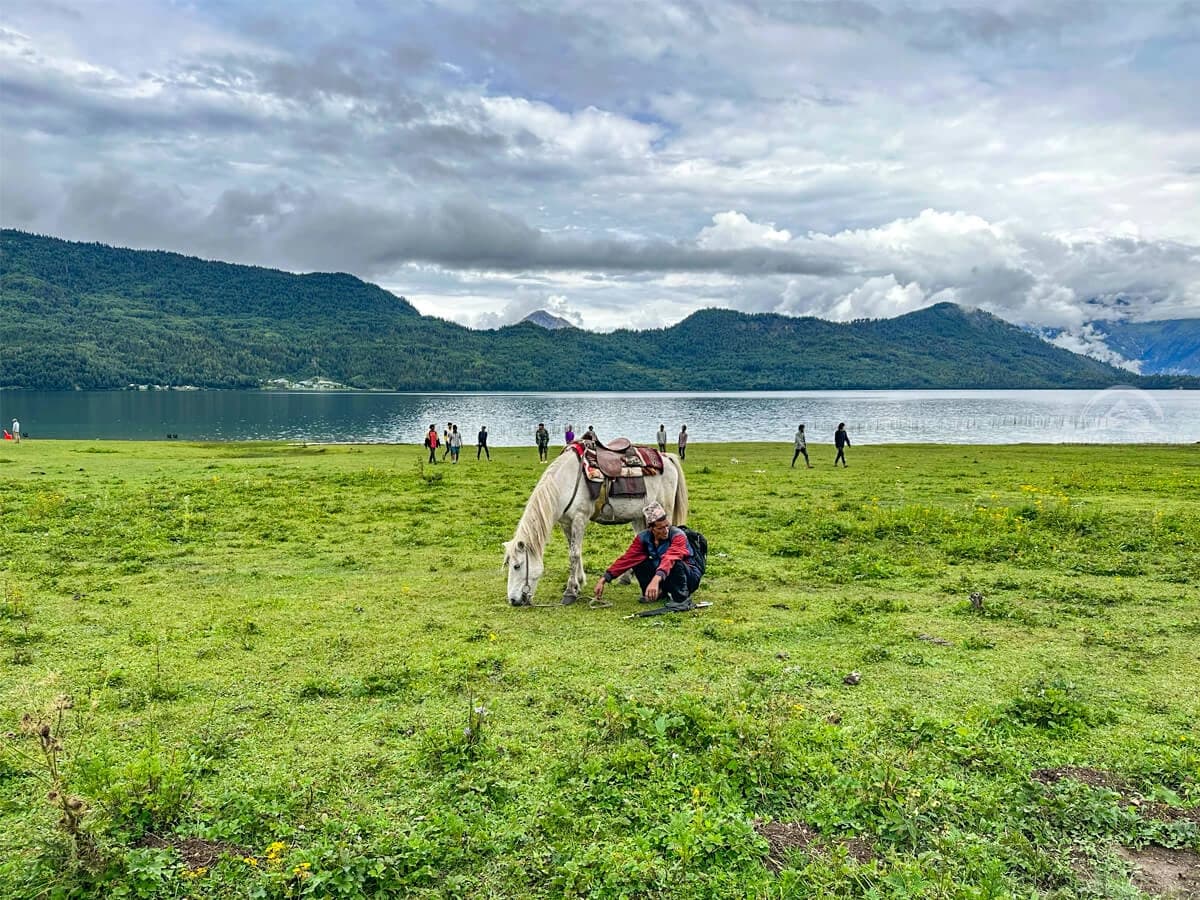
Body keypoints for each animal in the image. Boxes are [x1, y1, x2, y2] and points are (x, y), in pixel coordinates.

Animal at [503, 448, 688, 606]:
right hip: (640, 516)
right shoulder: (566, 523)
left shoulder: (580, 518)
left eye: (517, 566)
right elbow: (574, 551)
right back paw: (626, 577)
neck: (566, 482)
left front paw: (569, 592)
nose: (513, 600)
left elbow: (574, 554)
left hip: (664, 513)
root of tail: (667, 458)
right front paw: (578, 584)